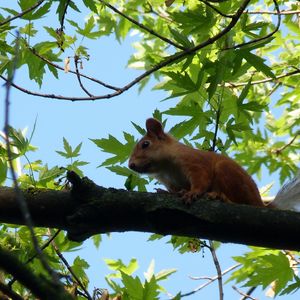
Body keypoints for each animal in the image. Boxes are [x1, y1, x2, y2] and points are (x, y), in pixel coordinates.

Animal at [128, 117, 264, 206]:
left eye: (145, 144)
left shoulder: (194, 162)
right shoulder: (169, 182)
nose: (130, 165)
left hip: (229, 173)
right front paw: (166, 192)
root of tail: (260, 203)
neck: (165, 168)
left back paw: (220, 197)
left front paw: (193, 192)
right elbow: (175, 190)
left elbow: (201, 179)